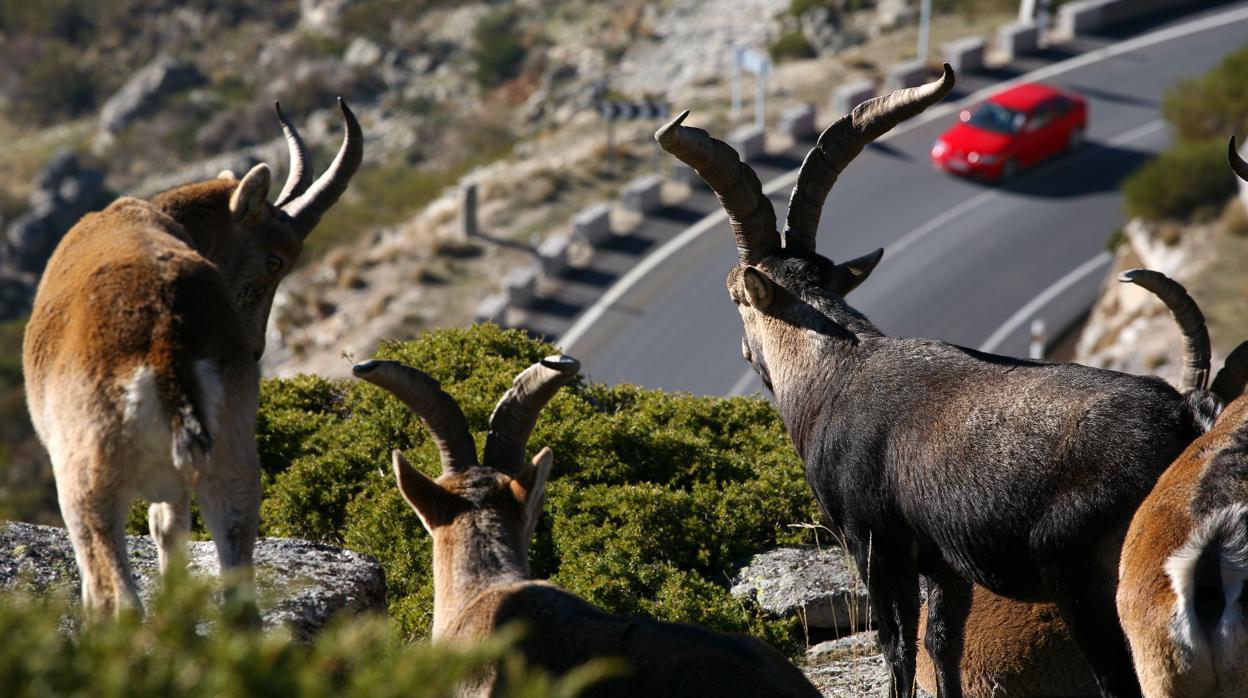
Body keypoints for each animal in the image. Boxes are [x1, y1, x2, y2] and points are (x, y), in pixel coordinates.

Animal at [23, 99, 361, 616]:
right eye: (275, 259)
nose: (257, 348)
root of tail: (168, 344)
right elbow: (169, 529)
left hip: (88, 477)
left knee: (111, 593)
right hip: (234, 461)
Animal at [663, 65, 1218, 698]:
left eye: (735, 295)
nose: (742, 350)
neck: (831, 372)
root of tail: (1185, 421)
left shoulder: (874, 544)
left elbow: (897, 645)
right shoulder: (945, 564)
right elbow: (942, 643)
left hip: (1086, 580)